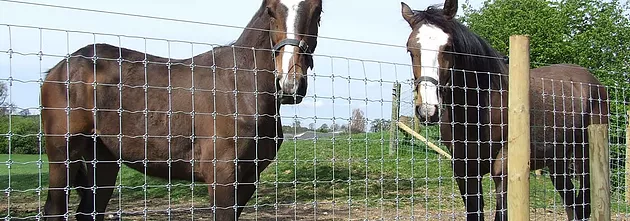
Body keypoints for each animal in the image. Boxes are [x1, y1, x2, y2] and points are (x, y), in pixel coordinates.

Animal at [39, 0, 324, 220]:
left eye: (317, 11)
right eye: (270, 10)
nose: (290, 84)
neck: (241, 87)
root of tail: (60, 67)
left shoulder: (247, 179)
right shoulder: (222, 178)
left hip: (103, 159)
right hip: (63, 155)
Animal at [402, 0, 608, 220]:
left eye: (448, 47)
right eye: (410, 50)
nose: (428, 110)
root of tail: (594, 83)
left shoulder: (504, 168)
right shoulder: (464, 168)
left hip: (583, 158)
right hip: (557, 162)